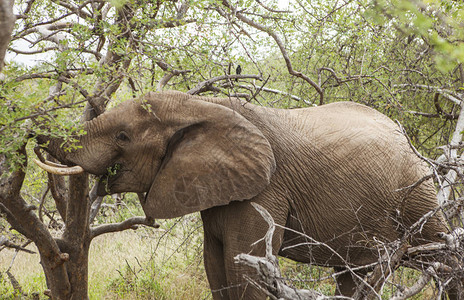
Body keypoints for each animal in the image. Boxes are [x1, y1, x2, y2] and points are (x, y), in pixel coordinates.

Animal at [37, 90, 454, 298]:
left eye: (123, 137)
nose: (35, 135)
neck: (202, 105)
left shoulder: (265, 190)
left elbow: (244, 269)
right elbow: (216, 268)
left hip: (417, 193)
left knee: (443, 259)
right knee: (354, 275)